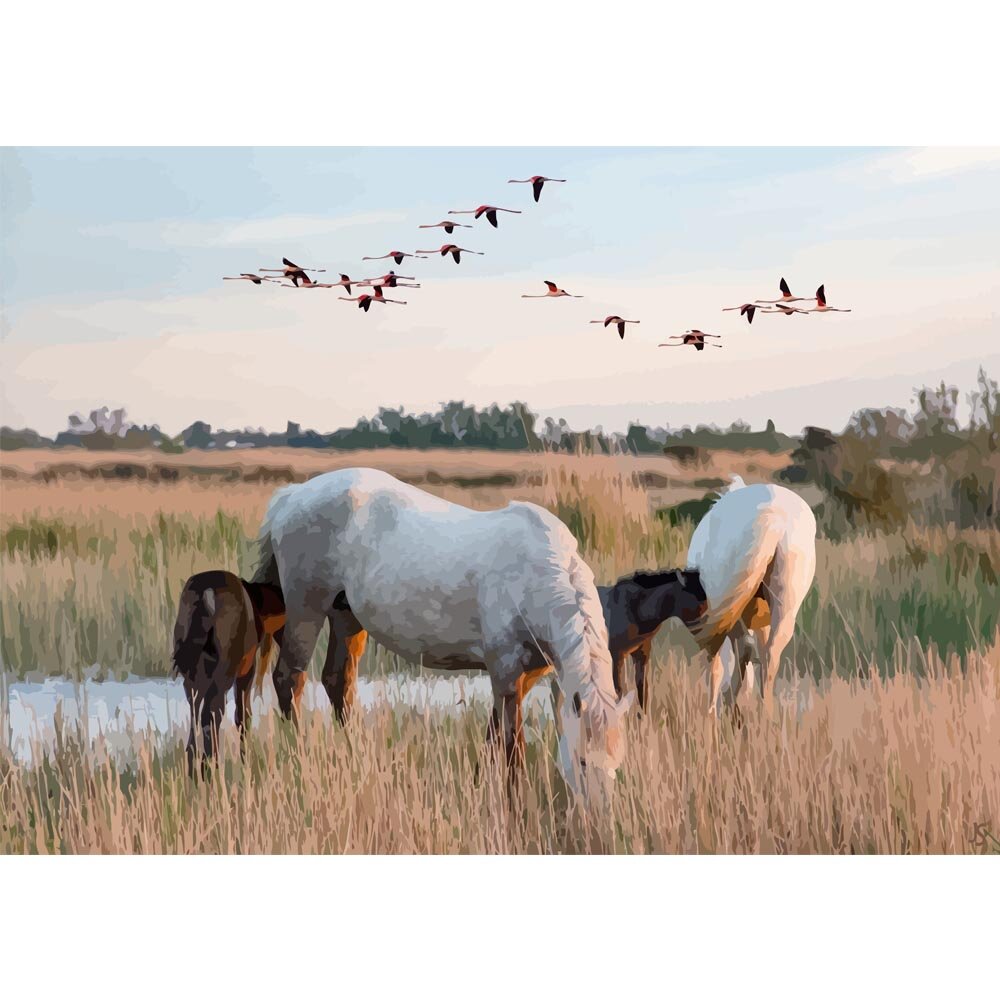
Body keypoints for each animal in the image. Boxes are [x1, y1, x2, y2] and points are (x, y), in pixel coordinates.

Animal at [172, 570, 285, 768]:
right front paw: (246, 760)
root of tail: (206, 595)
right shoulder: (247, 667)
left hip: (192, 668)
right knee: (213, 711)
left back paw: (195, 766)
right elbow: (243, 715)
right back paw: (212, 765)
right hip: (225, 668)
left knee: (195, 711)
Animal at [252, 467, 632, 791]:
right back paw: (299, 751)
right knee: (290, 679)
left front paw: (479, 783)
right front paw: (514, 796)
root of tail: (292, 495)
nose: (597, 820)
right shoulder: (506, 670)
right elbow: (512, 745)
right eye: (582, 761)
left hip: (346, 616)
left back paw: (354, 751)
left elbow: (494, 732)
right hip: (306, 609)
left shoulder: (527, 674)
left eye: (616, 766)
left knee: (337, 681)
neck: (537, 572)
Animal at [685, 477, 817, 716]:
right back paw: (765, 713)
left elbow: (718, 664)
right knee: (770, 654)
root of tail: (775, 519)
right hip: (784, 605)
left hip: (730, 608)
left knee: (740, 650)